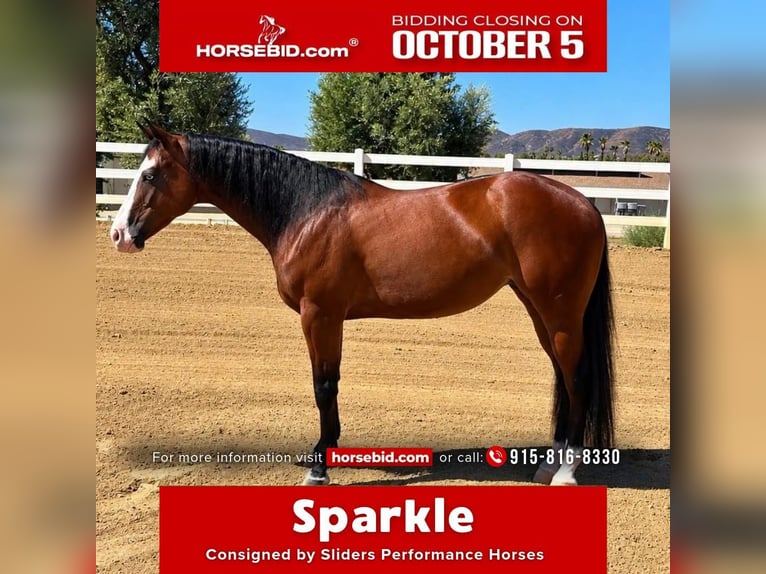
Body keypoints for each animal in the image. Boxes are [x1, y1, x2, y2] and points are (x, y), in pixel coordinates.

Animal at [109, 124, 615, 486]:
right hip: (539, 310)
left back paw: (566, 472)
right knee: (563, 376)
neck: (306, 211)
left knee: (577, 378)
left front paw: (320, 466)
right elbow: (327, 385)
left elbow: (324, 386)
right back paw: (549, 464)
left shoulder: (320, 315)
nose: (118, 235)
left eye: (150, 175)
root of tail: (584, 203)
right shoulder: (325, 318)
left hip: (559, 312)